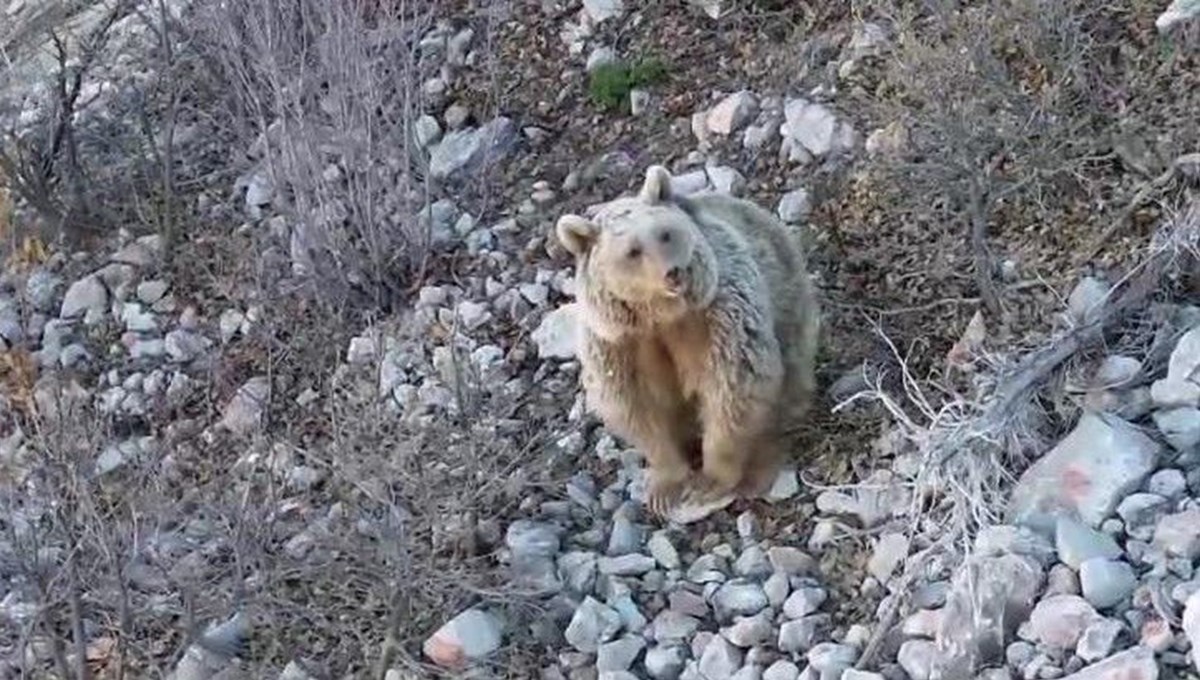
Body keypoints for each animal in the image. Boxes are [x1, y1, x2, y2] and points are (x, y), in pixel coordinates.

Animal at [554, 165, 820, 515]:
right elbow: (639, 408)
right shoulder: (618, 344)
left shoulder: (718, 316)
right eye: (633, 251)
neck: (661, 315)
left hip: (791, 312)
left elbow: (733, 389)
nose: (673, 273)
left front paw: (709, 480)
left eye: (665, 233)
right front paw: (664, 487)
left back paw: (760, 470)